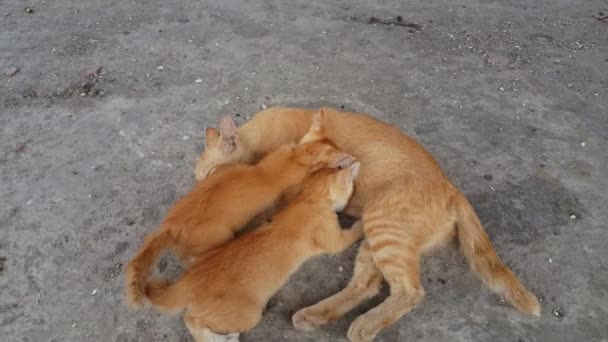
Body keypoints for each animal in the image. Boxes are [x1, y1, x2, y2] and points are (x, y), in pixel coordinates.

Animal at [196, 108, 540, 340]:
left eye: (210, 174)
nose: (199, 186)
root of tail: (451, 187)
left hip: (382, 223)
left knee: (410, 291)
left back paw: (364, 326)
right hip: (380, 238)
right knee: (368, 283)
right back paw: (315, 315)